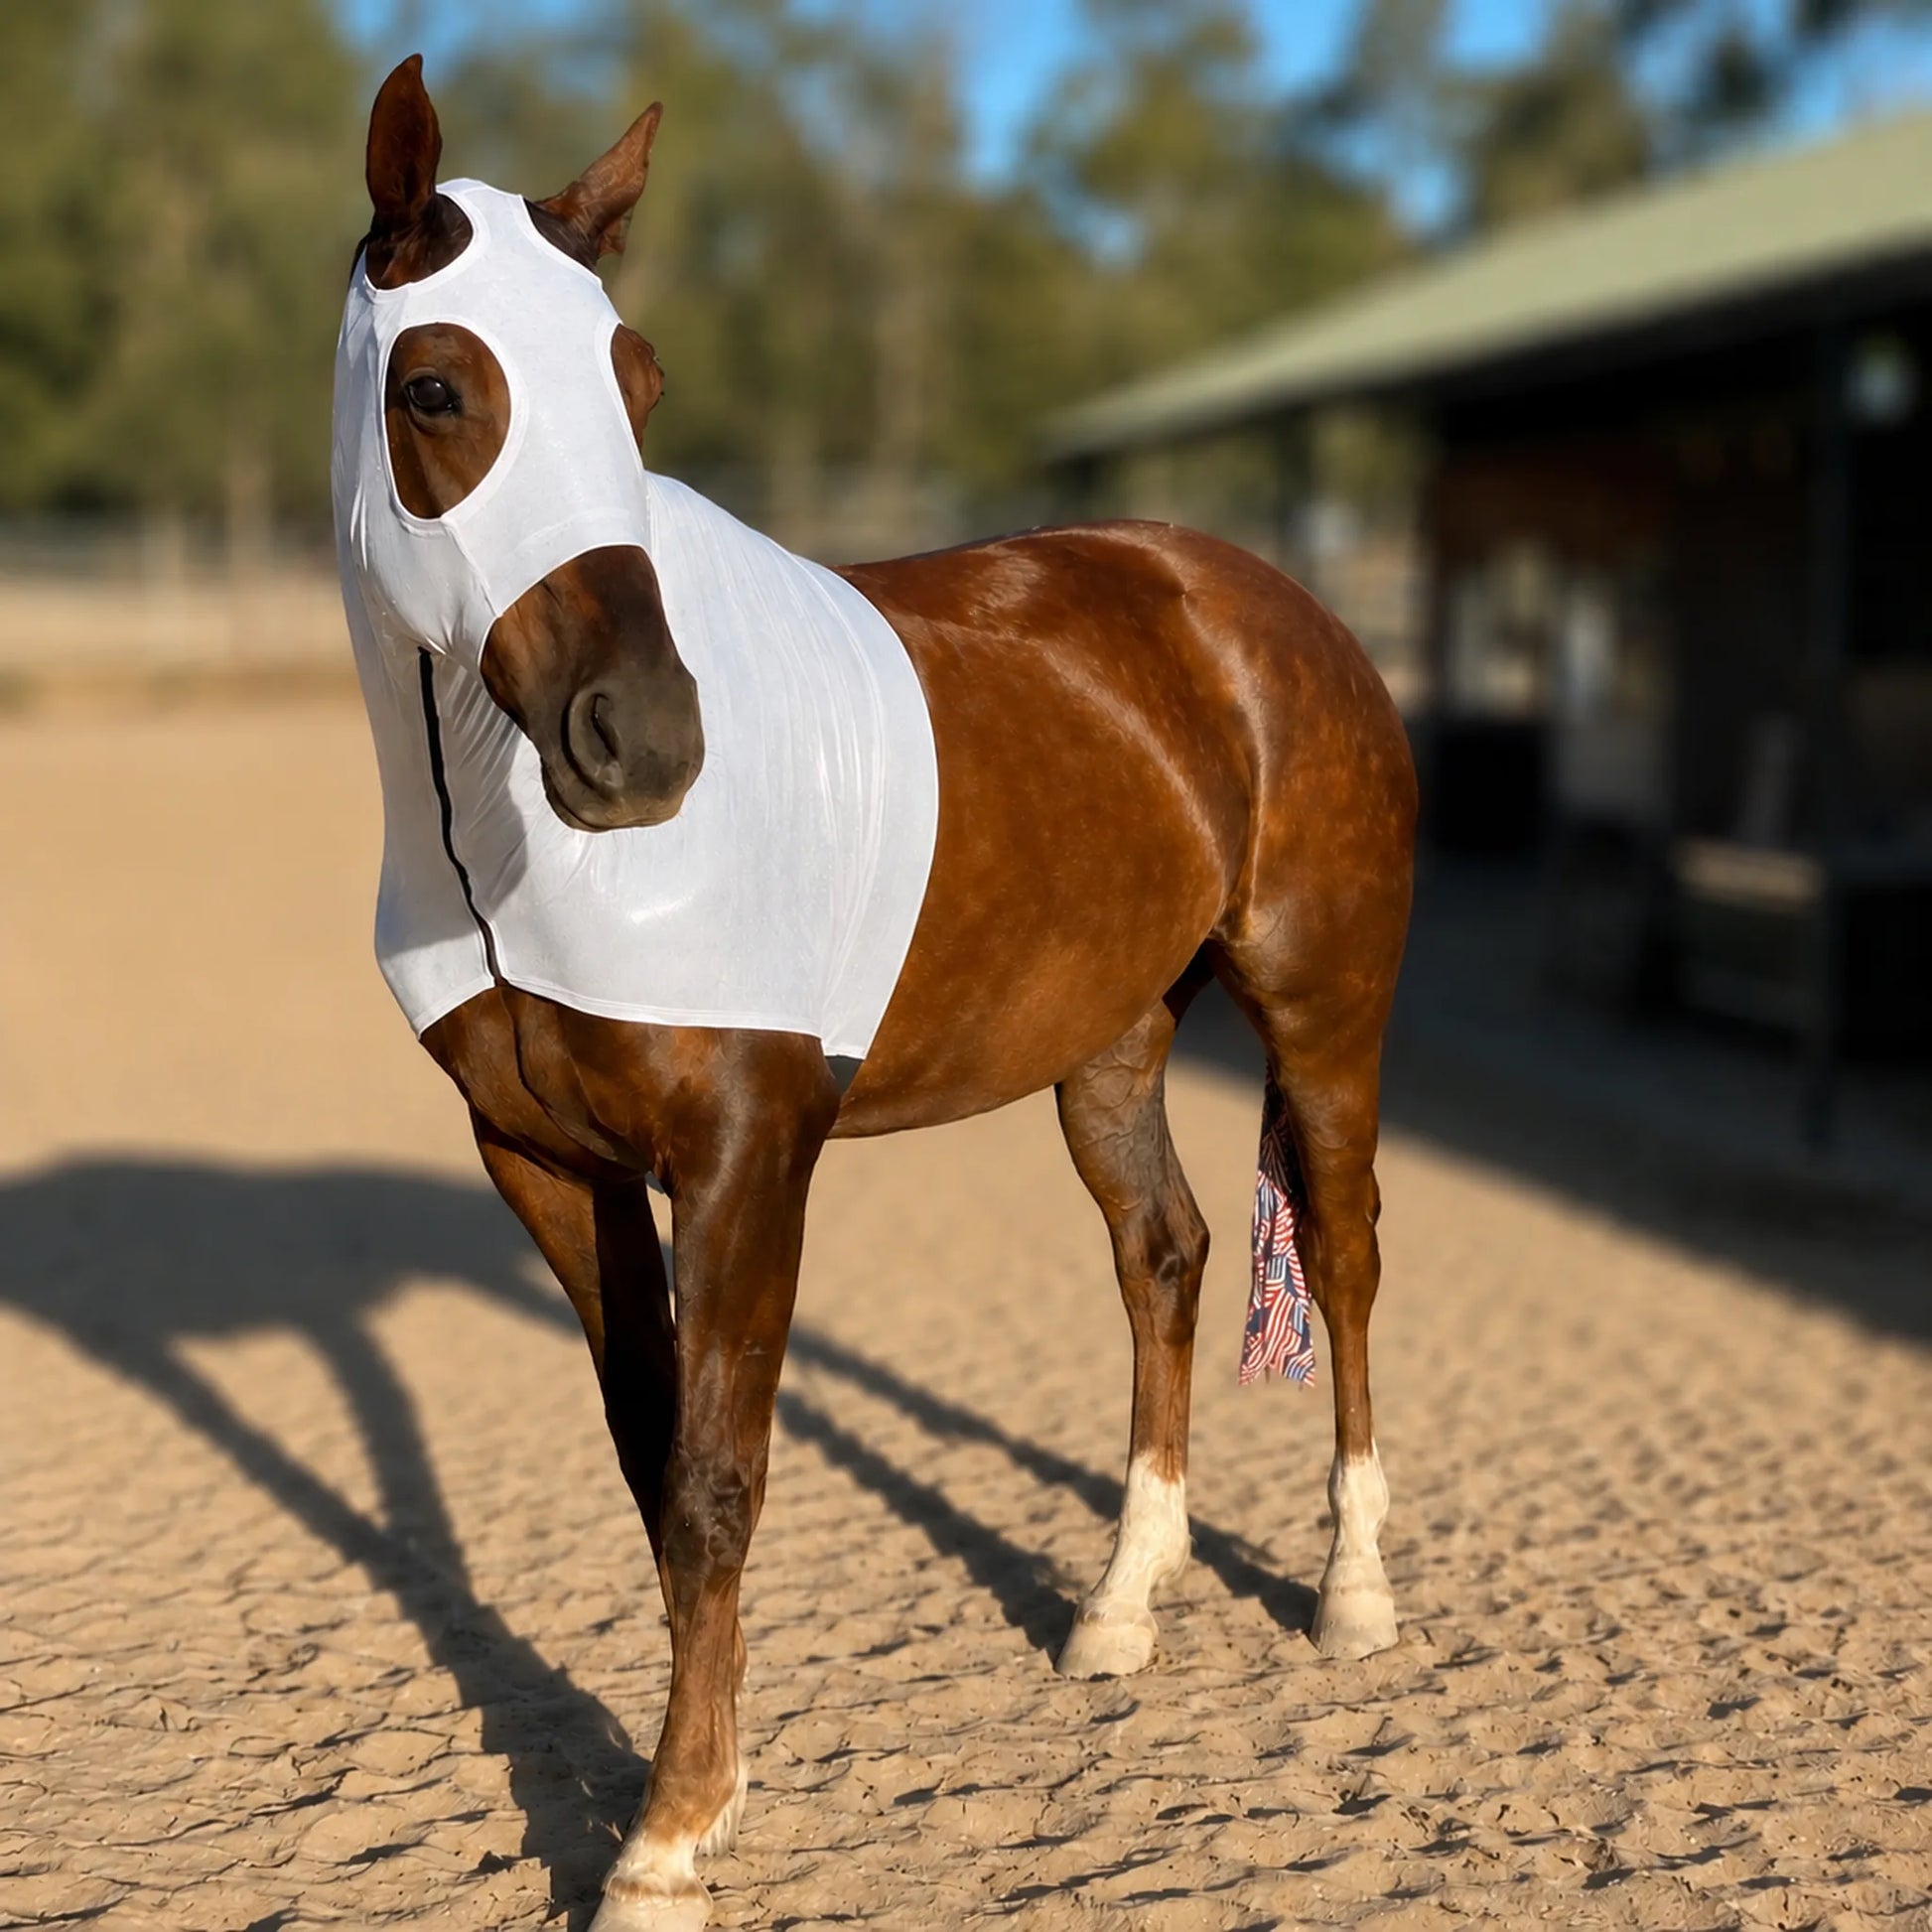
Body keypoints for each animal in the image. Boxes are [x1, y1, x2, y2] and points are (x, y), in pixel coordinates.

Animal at [341, 56, 1416, 1932]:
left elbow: (717, 1474)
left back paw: (1352, 1597)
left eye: (637, 383)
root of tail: (1257, 602)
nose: (646, 742)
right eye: (436, 386)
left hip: (1319, 1009)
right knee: (1165, 1255)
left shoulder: (747, 1151)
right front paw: (707, 1786)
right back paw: (1117, 1611)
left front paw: (664, 1846)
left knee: (1341, 1255)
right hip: (1107, 1041)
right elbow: (654, 1460)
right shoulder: (545, 1161)